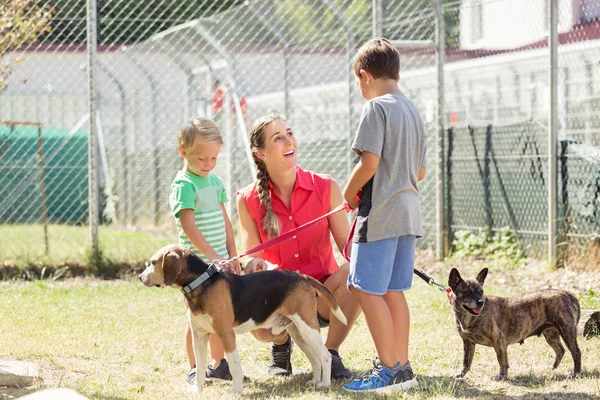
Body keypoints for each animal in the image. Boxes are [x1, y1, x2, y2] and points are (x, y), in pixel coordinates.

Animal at [450, 268, 580, 380]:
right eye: (467, 292)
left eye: (481, 292)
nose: (480, 302)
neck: (470, 317)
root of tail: (567, 293)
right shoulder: (468, 342)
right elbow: (466, 361)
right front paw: (461, 375)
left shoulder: (498, 340)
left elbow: (502, 360)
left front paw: (502, 376)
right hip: (551, 335)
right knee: (560, 350)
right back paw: (553, 368)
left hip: (567, 332)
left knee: (576, 352)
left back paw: (576, 373)